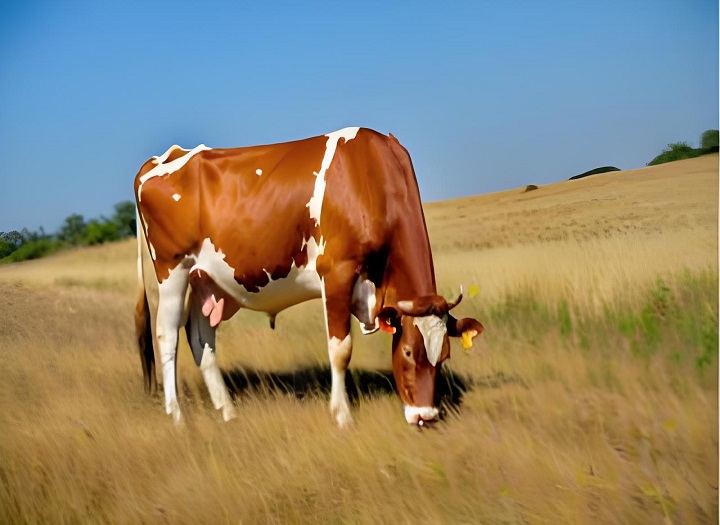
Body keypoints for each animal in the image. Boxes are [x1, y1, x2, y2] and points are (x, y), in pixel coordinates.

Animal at [135, 127, 484, 426]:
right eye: (409, 351)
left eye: (446, 356)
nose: (426, 416)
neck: (370, 175)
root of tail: (163, 157)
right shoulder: (337, 272)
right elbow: (341, 350)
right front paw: (342, 416)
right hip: (173, 270)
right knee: (167, 335)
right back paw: (177, 416)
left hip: (205, 279)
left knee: (201, 338)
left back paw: (228, 411)